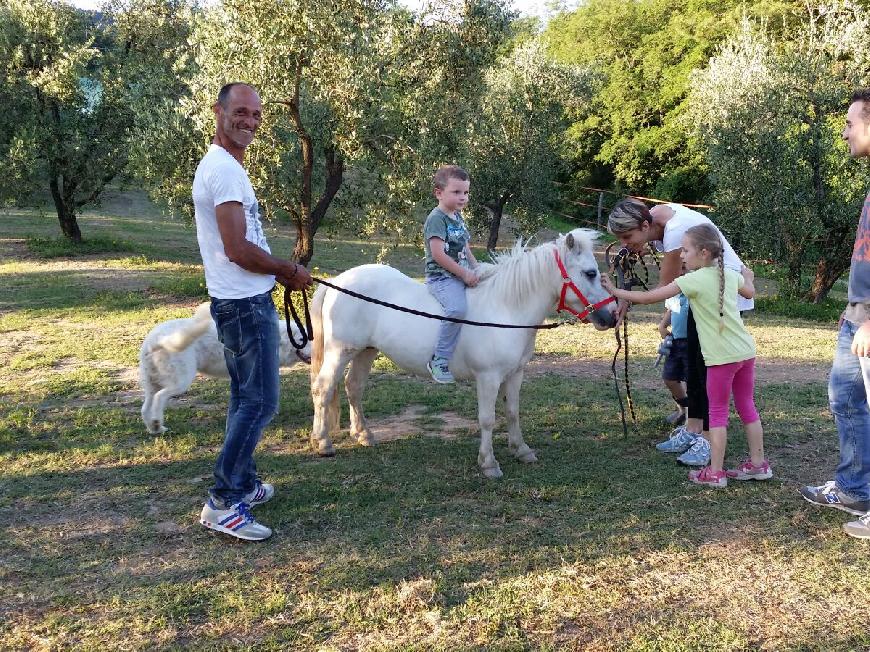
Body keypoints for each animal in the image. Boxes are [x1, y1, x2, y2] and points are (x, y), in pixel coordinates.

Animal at [138, 304, 312, 436]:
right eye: (302, 339)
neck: (280, 340)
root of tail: (156, 341)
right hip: (180, 381)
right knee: (159, 398)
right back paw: (157, 423)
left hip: (152, 384)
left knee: (145, 408)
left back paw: (155, 428)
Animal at [310, 229, 616, 478]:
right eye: (590, 273)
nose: (612, 316)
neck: (506, 309)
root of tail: (337, 280)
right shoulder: (488, 378)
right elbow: (487, 419)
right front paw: (489, 463)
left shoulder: (516, 373)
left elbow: (513, 412)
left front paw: (521, 450)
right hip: (341, 351)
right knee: (323, 388)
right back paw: (323, 442)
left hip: (366, 351)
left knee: (353, 387)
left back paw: (363, 434)